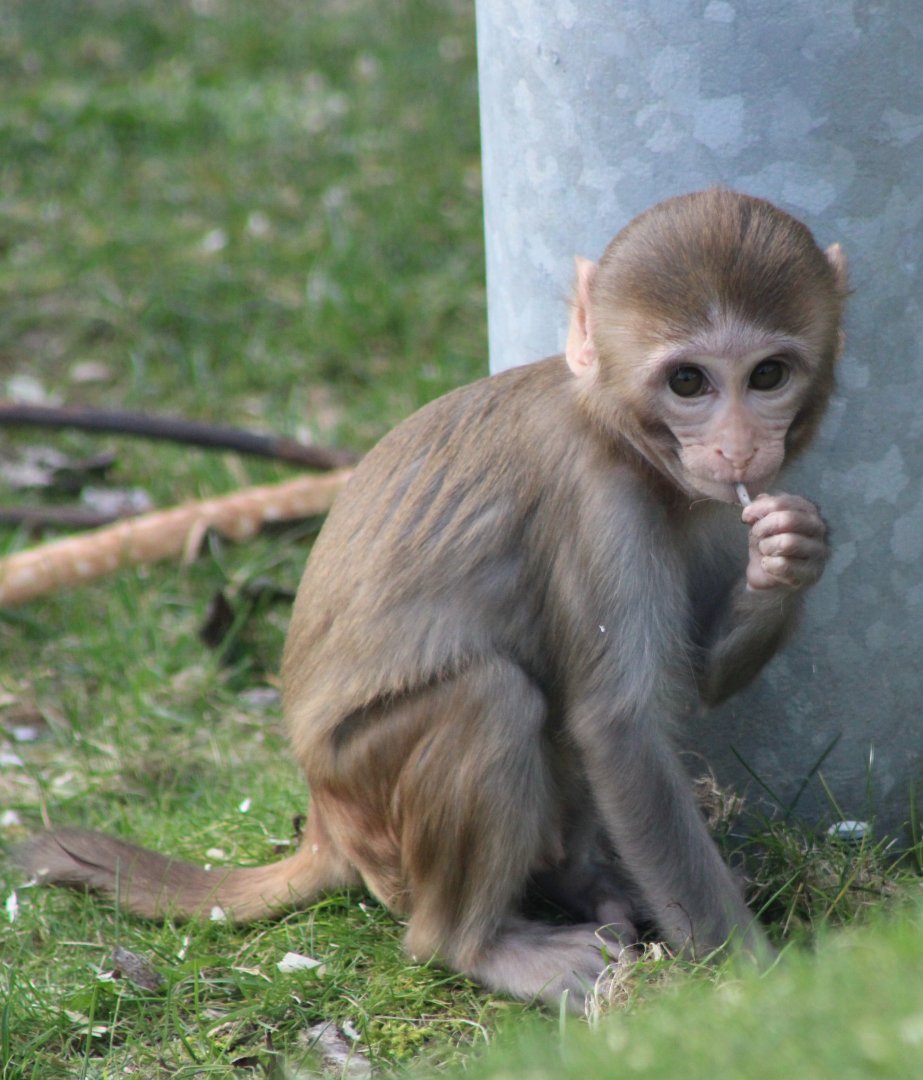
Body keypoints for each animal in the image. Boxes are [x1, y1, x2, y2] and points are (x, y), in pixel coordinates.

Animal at [16, 189, 847, 1009]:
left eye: (767, 376)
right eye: (688, 382)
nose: (739, 447)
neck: (619, 435)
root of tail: (322, 820)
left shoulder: (707, 504)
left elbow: (693, 677)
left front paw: (790, 551)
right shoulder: (597, 507)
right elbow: (620, 728)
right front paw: (754, 980)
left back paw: (584, 882)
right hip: (372, 808)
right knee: (491, 698)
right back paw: (474, 946)